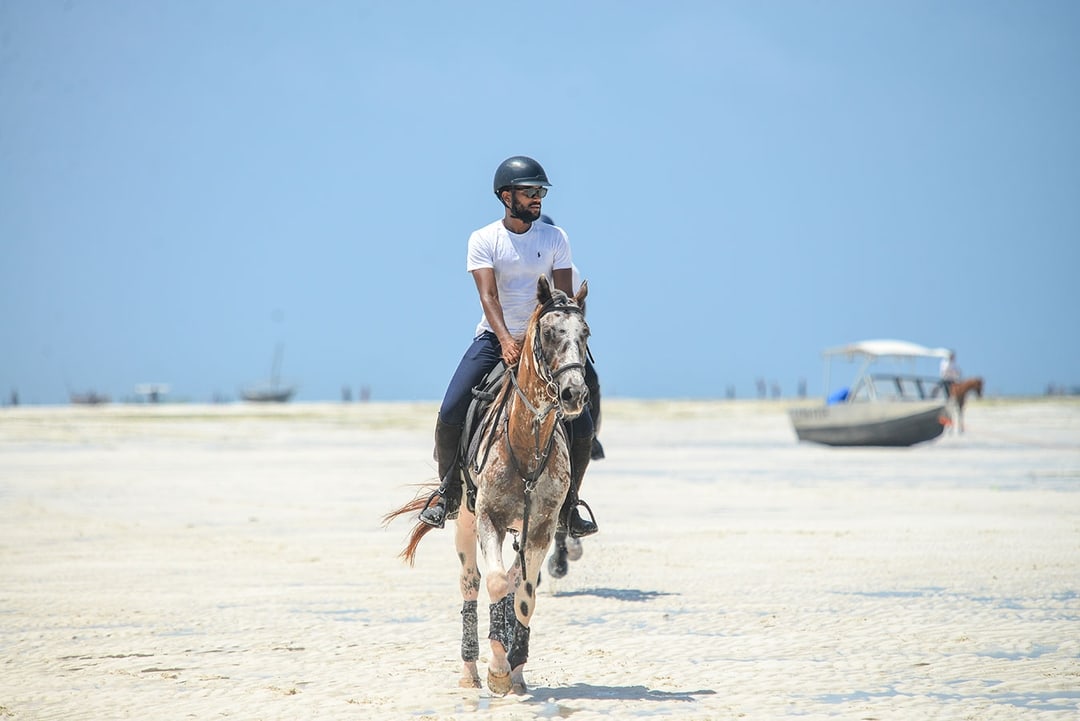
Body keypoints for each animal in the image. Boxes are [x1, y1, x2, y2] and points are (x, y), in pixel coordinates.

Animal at [385, 275, 591, 695]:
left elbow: (523, 594)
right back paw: (469, 669)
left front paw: (516, 667)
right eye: (549, 332)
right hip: (463, 519)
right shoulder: (488, 519)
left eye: (586, 333)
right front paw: (497, 671)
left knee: (513, 580)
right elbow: (495, 583)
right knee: (471, 582)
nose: (575, 394)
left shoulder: (541, 528)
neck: (526, 443)